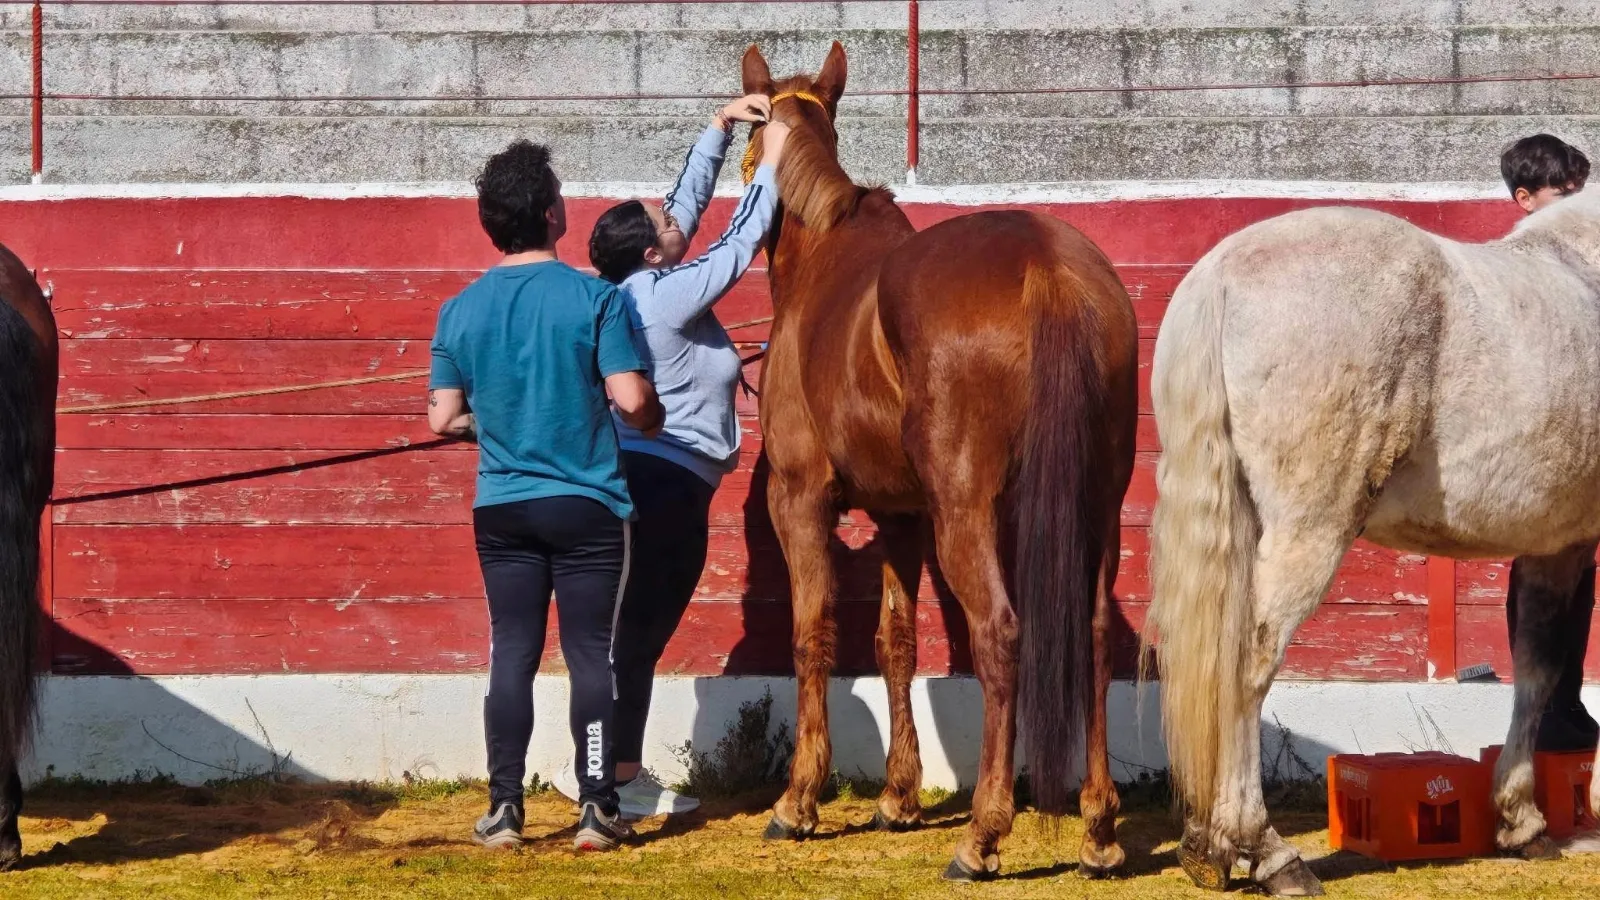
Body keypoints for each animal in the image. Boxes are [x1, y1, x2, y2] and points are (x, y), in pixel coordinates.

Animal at [740, 43, 1141, 880]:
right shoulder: (901, 515)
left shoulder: (799, 501)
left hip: (968, 512)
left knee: (1001, 634)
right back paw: (1098, 830)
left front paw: (799, 800)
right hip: (1098, 508)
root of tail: (1046, 266)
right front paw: (898, 798)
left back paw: (982, 834)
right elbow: (895, 640)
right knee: (1092, 635)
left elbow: (811, 632)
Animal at [1147, 190, 1600, 895]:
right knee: (1250, 665)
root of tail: (1222, 272)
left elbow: (1532, 661)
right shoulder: (1571, 544)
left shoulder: (1550, 542)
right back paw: (1269, 852)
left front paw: (1516, 819)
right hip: (1310, 530)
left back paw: (1208, 847)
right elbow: (1547, 665)